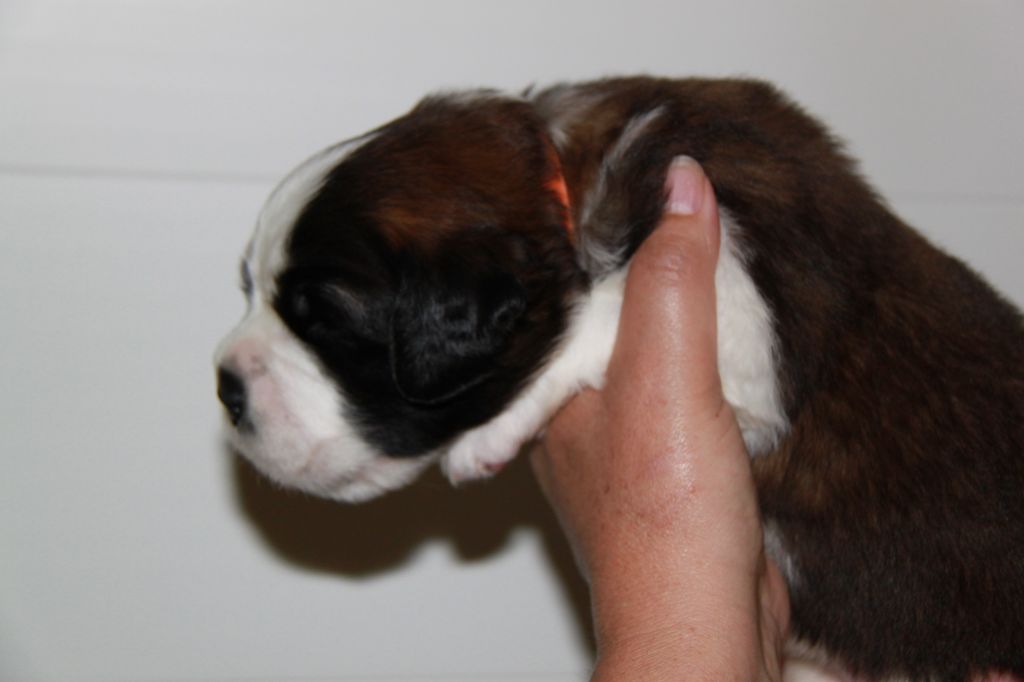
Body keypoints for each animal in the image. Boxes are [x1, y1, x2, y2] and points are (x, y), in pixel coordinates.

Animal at [215, 77, 1024, 681]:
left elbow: (612, 299)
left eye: (323, 319)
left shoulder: (740, 296)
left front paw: (489, 435)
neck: (561, 181)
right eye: (249, 288)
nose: (224, 388)